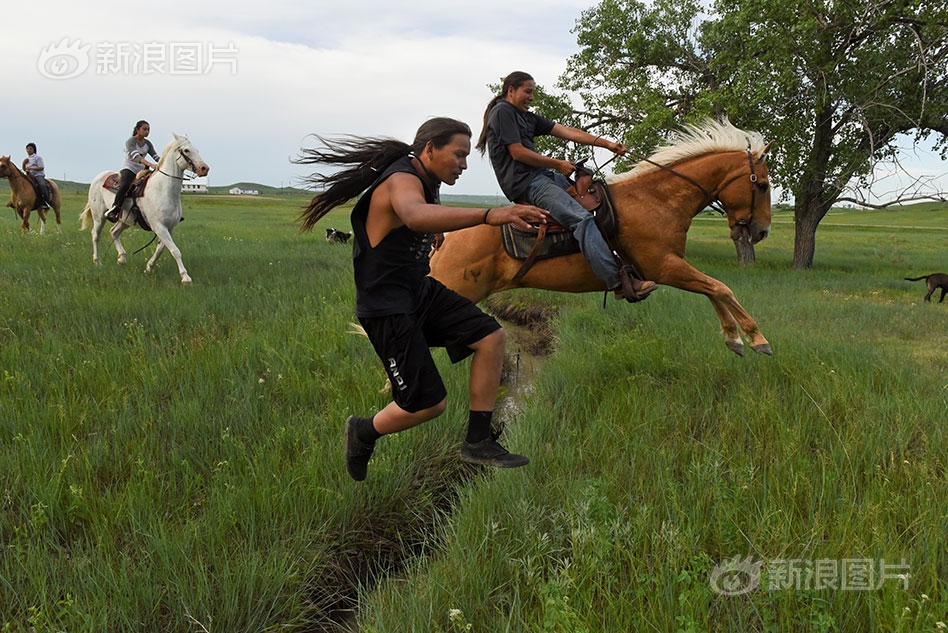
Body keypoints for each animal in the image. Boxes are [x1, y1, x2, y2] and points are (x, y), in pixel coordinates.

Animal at [80, 133, 209, 284]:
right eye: (186, 150)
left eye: (197, 150)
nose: (204, 168)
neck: (163, 190)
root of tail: (98, 177)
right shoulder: (159, 227)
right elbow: (175, 251)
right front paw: (185, 277)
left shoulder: (170, 228)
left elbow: (161, 250)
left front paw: (149, 267)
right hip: (99, 217)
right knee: (96, 235)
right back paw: (97, 262)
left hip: (125, 220)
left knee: (114, 232)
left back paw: (122, 258)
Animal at [430, 118, 772, 356]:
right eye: (763, 185)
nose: (762, 231)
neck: (655, 199)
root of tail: (443, 241)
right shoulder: (664, 267)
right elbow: (721, 288)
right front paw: (757, 338)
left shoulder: (673, 266)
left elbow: (712, 290)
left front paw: (733, 338)